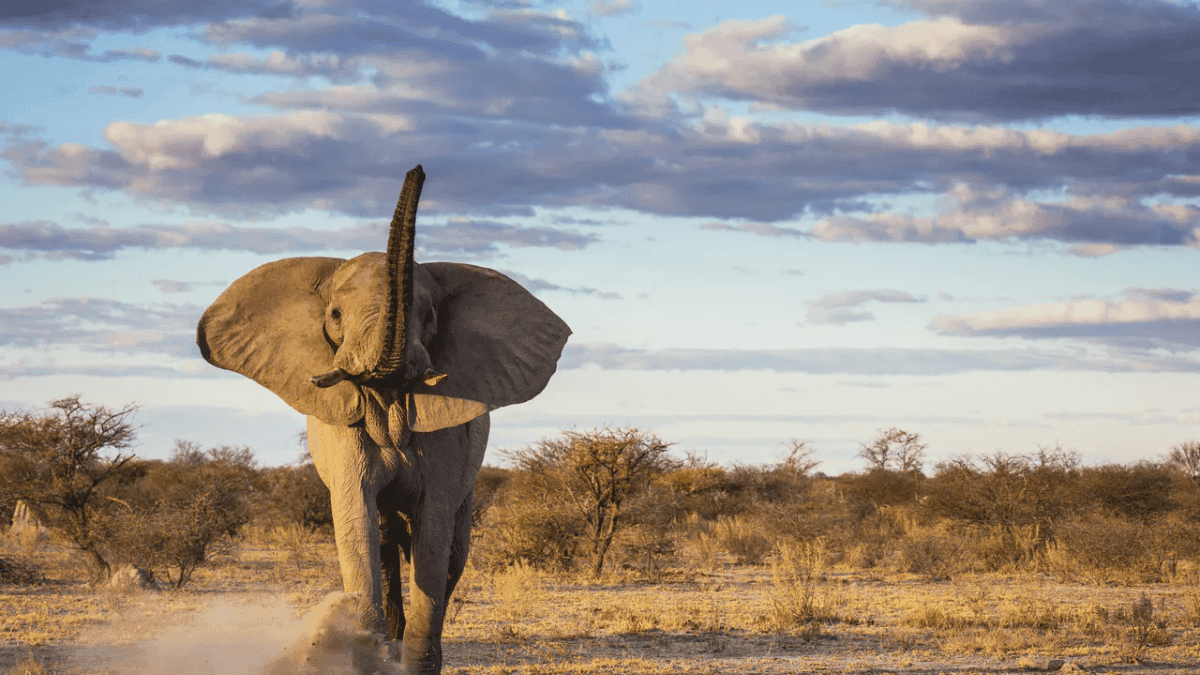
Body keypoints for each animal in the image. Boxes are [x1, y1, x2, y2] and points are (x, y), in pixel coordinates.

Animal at [196, 166, 571, 674]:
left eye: (429, 316)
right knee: (385, 544)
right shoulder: (342, 431)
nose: (417, 171)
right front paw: (365, 655)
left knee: (451, 555)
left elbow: (433, 533)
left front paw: (414, 664)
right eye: (335, 315)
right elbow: (356, 523)